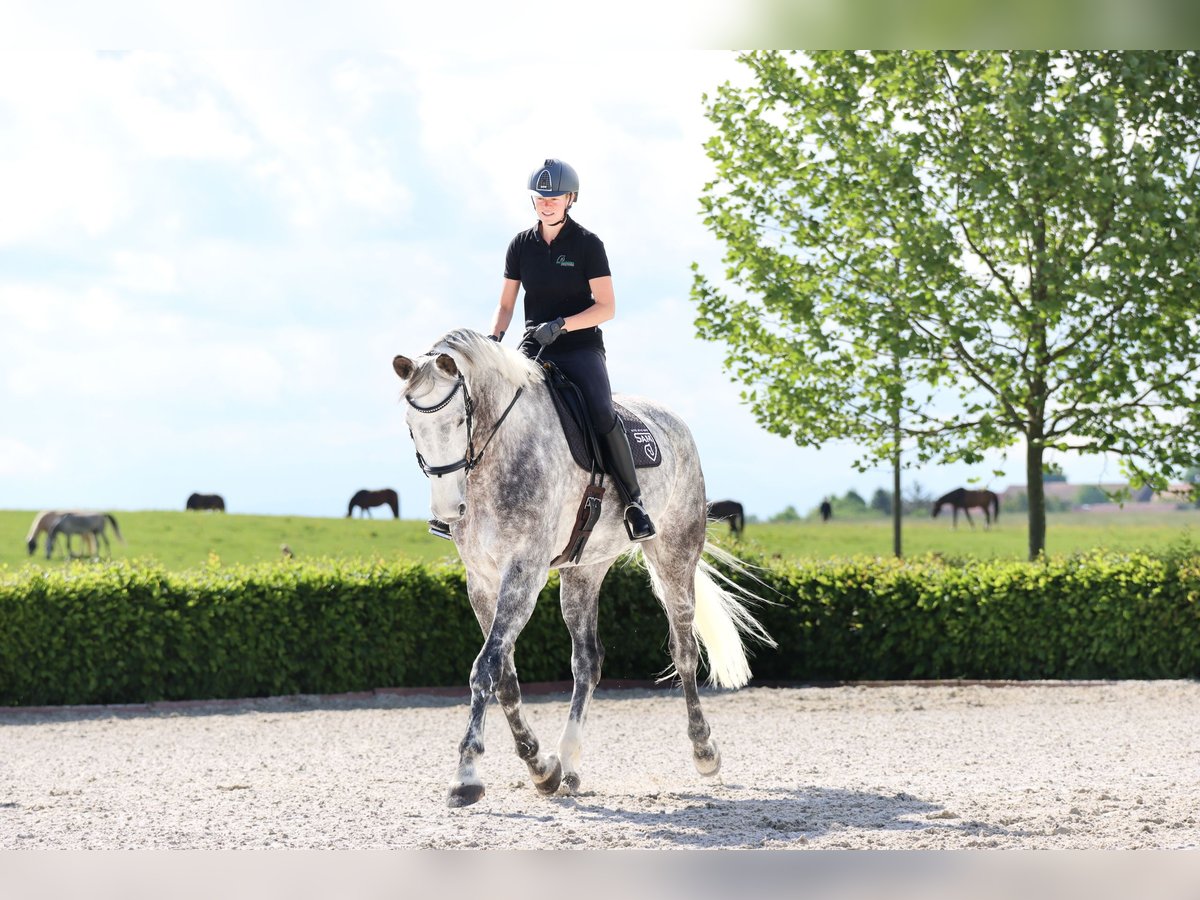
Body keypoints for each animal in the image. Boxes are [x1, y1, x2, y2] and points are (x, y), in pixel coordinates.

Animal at [388, 328, 772, 811]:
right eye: (410, 426)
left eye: (460, 422)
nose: (446, 511)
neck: (499, 454)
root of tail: (672, 420)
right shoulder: (482, 581)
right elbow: (505, 676)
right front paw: (540, 767)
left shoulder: (524, 572)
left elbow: (486, 668)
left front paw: (467, 775)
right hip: (583, 571)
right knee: (588, 661)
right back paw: (567, 764)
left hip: (674, 555)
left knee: (683, 649)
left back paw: (704, 751)